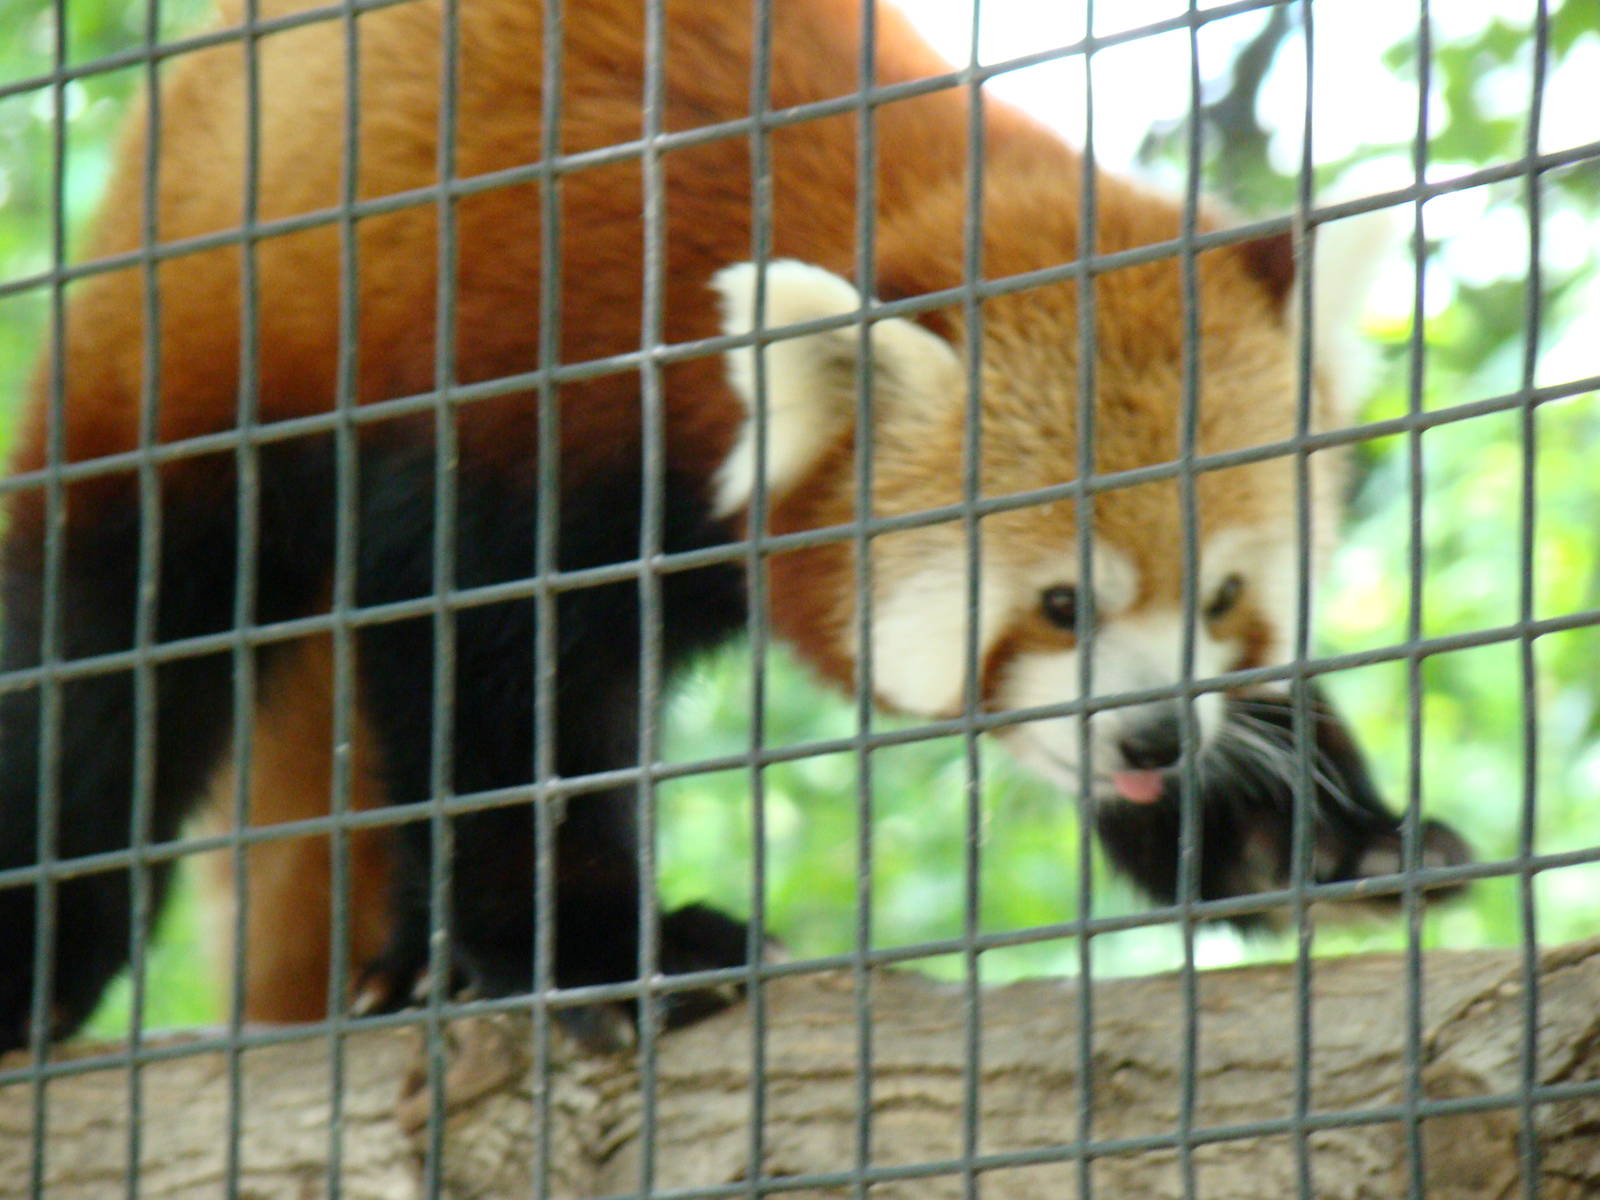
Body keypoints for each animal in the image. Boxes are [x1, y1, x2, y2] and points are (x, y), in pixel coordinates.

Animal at [0, 0, 1466, 1050]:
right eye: (1061, 604)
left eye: (1222, 596)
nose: (1155, 735)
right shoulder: (511, 403)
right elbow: (499, 701)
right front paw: (604, 949)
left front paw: (1322, 835)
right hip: (179, 362)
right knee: (101, 673)